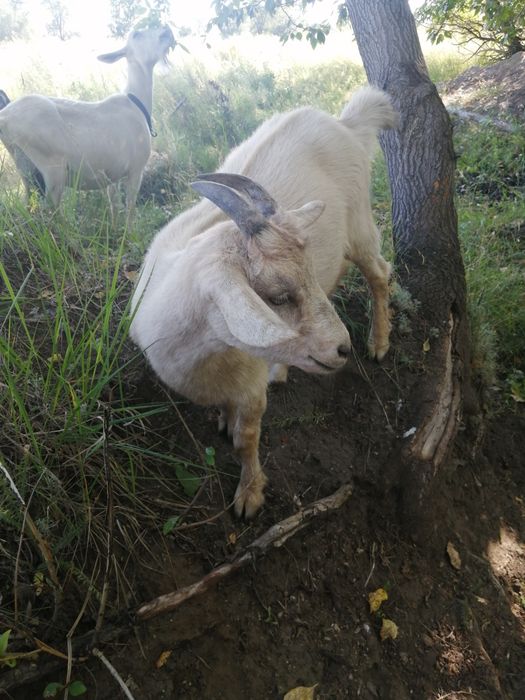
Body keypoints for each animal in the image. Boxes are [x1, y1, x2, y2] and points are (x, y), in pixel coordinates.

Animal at [0, 26, 175, 215]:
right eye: (136, 34)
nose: (167, 31)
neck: (135, 102)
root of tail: (5, 117)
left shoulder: (112, 175)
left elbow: (114, 206)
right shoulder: (136, 170)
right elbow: (130, 209)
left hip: (25, 168)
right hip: (52, 169)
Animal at [130, 86, 398, 519]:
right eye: (278, 296)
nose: (343, 349)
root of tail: (345, 122)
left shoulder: (251, 389)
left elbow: (247, 440)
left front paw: (249, 495)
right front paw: (224, 420)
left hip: (360, 221)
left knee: (379, 272)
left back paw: (378, 342)